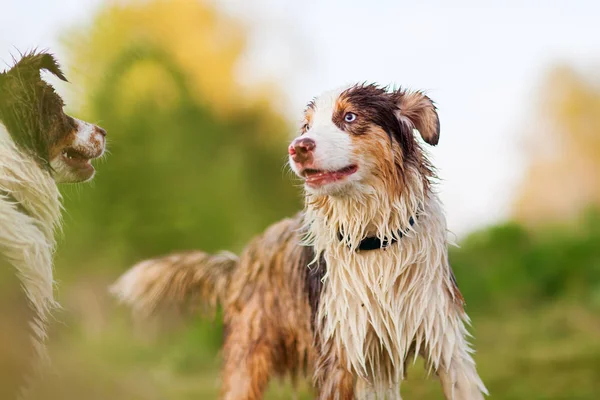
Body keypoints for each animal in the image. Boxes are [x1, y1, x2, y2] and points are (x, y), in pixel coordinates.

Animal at [111, 83, 488, 398]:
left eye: (349, 117)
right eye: (306, 127)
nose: (297, 148)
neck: (374, 239)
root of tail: (241, 259)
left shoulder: (445, 342)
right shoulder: (343, 355)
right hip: (249, 356)